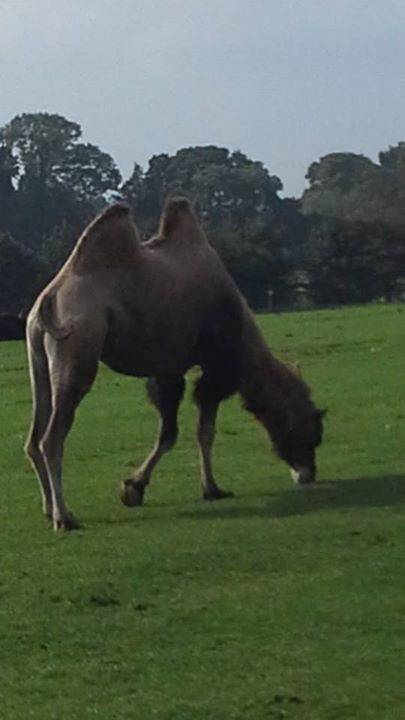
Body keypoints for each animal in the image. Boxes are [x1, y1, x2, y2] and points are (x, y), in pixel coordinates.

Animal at [25, 198, 326, 531]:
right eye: (310, 431)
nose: (308, 474)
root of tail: (48, 301)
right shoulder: (213, 366)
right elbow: (197, 431)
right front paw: (202, 488)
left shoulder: (167, 368)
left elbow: (174, 430)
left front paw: (139, 488)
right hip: (78, 349)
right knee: (51, 438)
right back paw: (65, 517)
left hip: (39, 362)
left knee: (34, 437)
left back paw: (48, 509)